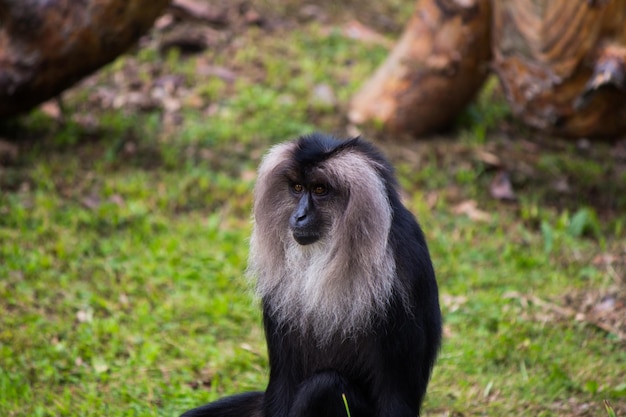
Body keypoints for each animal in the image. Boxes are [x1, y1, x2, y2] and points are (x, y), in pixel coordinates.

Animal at [180, 133, 442, 416]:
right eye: (297, 188)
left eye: (319, 190)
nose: (299, 216)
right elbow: (283, 382)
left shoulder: (405, 265)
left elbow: (394, 395)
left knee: (325, 385)